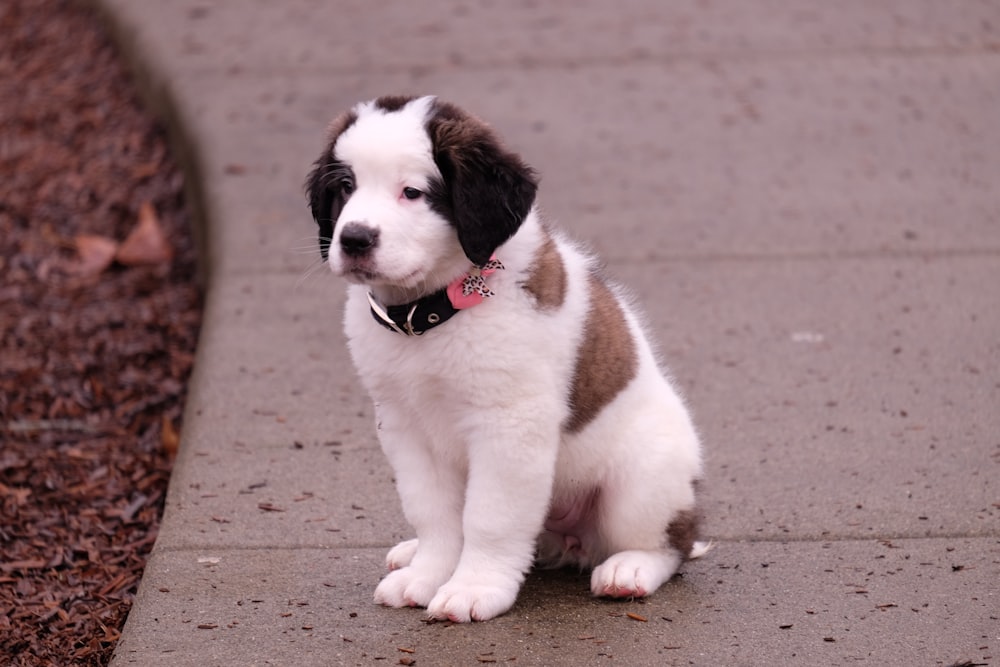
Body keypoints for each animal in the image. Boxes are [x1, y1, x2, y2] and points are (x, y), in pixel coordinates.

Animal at [304, 96, 704, 624]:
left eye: (412, 192)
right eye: (345, 187)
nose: (353, 239)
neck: (430, 313)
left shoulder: (508, 426)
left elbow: (488, 518)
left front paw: (474, 587)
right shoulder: (404, 426)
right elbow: (434, 512)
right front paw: (427, 573)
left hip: (642, 483)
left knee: (669, 543)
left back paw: (630, 568)